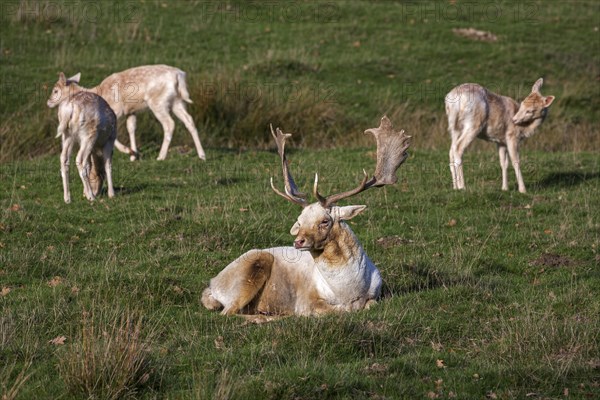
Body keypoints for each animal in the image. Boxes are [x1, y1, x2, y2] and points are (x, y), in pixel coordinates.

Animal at [47, 72, 116, 203]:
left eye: (55, 90)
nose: (48, 102)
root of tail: (70, 108)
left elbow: (90, 166)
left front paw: (85, 192)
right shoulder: (110, 140)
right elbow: (108, 165)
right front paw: (111, 194)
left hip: (68, 135)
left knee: (64, 159)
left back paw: (68, 198)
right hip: (89, 135)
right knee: (79, 160)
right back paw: (91, 197)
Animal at [62, 64, 204, 161]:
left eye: (57, 91)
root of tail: (179, 76)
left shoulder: (117, 110)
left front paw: (128, 151)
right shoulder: (131, 111)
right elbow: (131, 128)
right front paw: (134, 155)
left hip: (158, 102)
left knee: (169, 124)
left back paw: (161, 156)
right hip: (177, 101)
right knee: (189, 120)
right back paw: (202, 155)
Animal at [203, 116, 412, 322]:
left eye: (325, 221)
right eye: (299, 220)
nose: (298, 241)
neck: (349, 292)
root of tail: (212, 285)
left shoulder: (377, 293)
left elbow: (369, 305)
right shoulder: (307, 300)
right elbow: (338, 310)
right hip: (251, 269)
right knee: (227, 313)